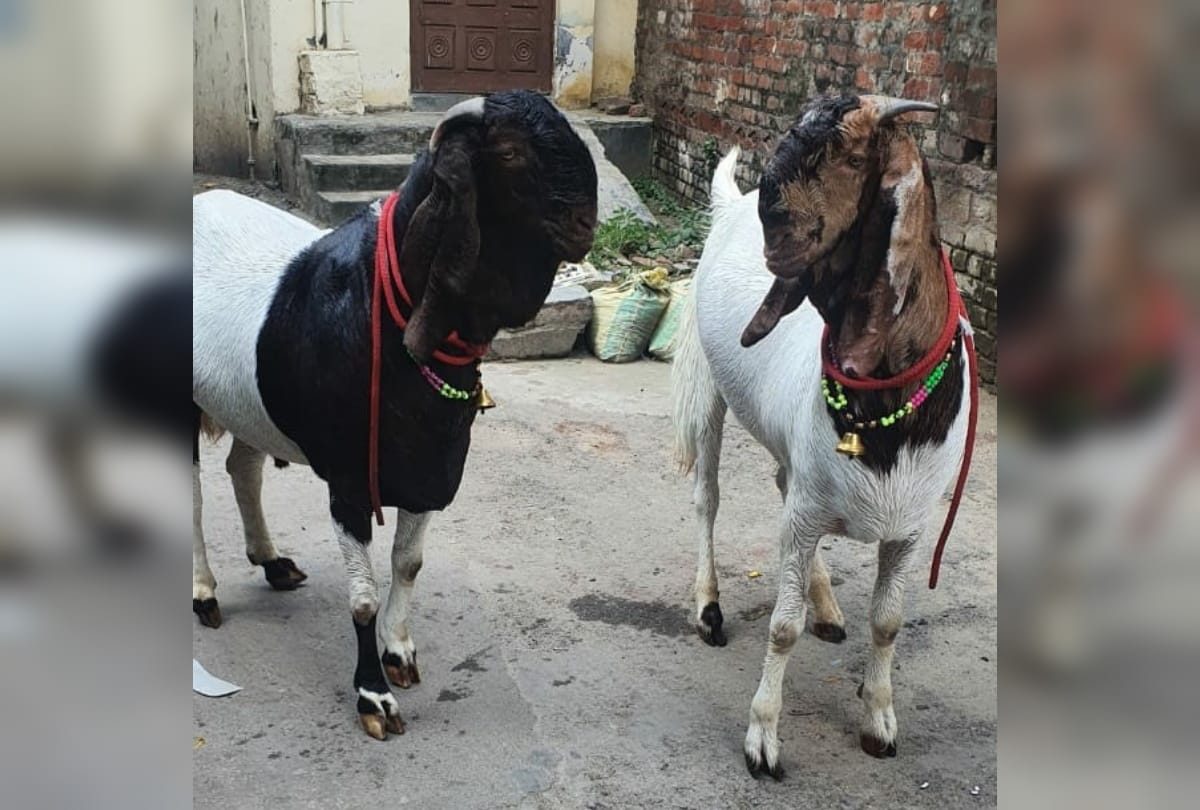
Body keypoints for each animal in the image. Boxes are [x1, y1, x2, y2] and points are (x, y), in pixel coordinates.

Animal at [192, 91, 598, 740]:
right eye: (509, 152)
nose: (587, 223)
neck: (376, 308)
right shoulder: (350, 478)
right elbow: (361, 596)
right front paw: (372, 694)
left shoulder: (430, 465)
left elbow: (408, 564)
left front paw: (398, 651)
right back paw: (204, 592)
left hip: (245, 399)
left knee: (242, 467)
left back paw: (272, 561)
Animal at [671, 94, 971, 776]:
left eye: (853, 157)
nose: (771, 213)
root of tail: (728, 204)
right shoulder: (808, 514)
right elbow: (781, 628)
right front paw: (762, 737)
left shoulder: (910, 528)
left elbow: (888, 622)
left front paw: (879, 720)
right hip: (709, 389)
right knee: (707, 499)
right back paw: (709, 606)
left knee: (782, 479)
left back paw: (827, 607)